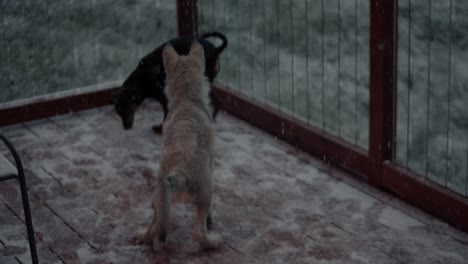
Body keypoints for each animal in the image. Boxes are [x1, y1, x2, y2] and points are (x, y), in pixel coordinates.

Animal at [135, 41, 223, 250]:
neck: (187, 100)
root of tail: (180, 173)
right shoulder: (212, 163)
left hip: (159, 198)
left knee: (155, 226)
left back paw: (143, 237)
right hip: (206, 193)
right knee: (199, 233)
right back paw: (214, 241)